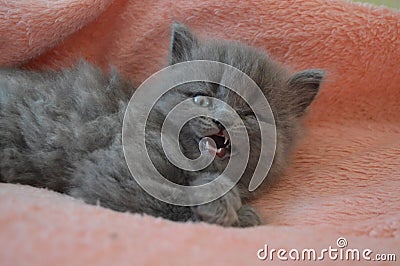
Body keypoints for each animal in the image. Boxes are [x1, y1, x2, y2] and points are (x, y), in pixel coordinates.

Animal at [0, 23, 324, 227]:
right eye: (201, 97)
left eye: (247, 113)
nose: (220, 119)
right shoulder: (118, 172)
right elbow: (169, 205)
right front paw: (232, 214)